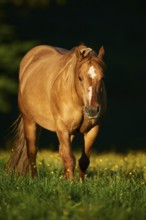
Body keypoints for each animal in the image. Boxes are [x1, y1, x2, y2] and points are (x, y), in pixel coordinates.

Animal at [5, 44, 106, 180]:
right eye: (80, 78)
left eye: (102, 78)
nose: (92, 110)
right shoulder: (62, 128)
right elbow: (69, 159)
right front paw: (71, 183)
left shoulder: (92, 129)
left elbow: (83, 161)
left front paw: (79, 182)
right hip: (29, 121)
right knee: (32, 151)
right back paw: (35, 179)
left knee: (61, 151)